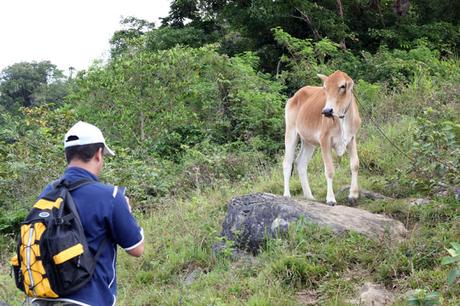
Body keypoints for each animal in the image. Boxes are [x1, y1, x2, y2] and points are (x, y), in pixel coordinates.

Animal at [282, 70, 362, 206]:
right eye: (325, 87)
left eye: (342, 86)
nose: (327, 111)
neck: (342, 117)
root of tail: (295, 96)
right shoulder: (325, 140)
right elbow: (329, 170)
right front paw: (330, 199)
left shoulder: (351, 139)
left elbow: (355, 164)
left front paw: (353, 196)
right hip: (291, 132)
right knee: (287, 163)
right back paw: (287, 194)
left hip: (308, 142)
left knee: (301, 163)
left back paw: (309, 196)